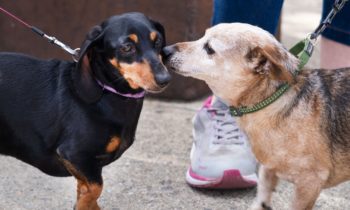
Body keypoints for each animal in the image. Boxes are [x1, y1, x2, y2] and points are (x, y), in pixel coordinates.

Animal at [0, 12, 170, 209]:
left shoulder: (85, 170)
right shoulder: (74, 155)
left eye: (157, 41)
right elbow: (96, 188)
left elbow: (87, 191)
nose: (165, 79)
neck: (107, 92)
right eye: (127, 47)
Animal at [163, 22, 350, 209]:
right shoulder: (268, 169)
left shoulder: (310, 182)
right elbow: (263, 195)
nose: (165, 50)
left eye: (209, 48)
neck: (271, 99)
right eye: (202, 36)